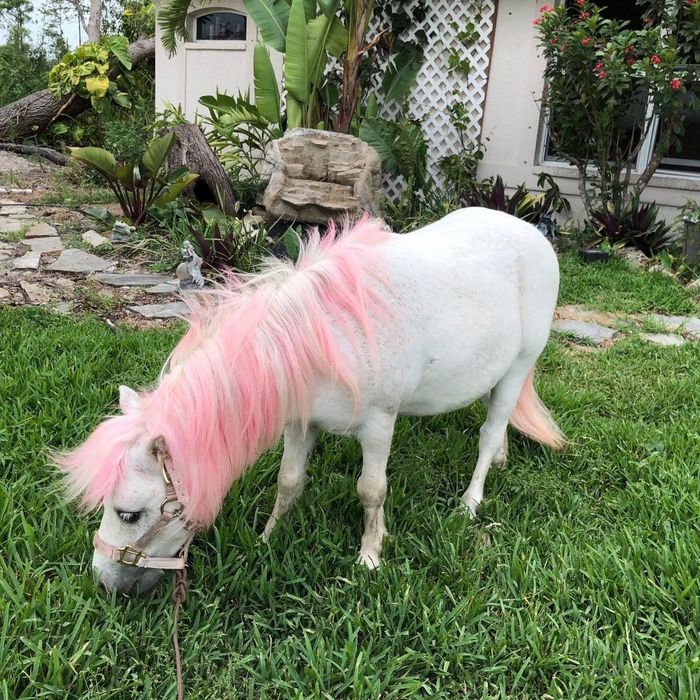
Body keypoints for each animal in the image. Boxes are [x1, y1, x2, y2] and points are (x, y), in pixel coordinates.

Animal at [57, 207, 566, 595]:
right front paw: (267, 538)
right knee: (499, 420)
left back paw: (470, 502)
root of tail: (531, 232)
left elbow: (371, 490)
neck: (320, 339)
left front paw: (369, 556)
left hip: (520, 364)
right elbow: (289, 482)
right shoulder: (300, 423)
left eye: (129, 513)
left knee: (489, 431)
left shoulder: (378, 425)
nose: (103, 582)